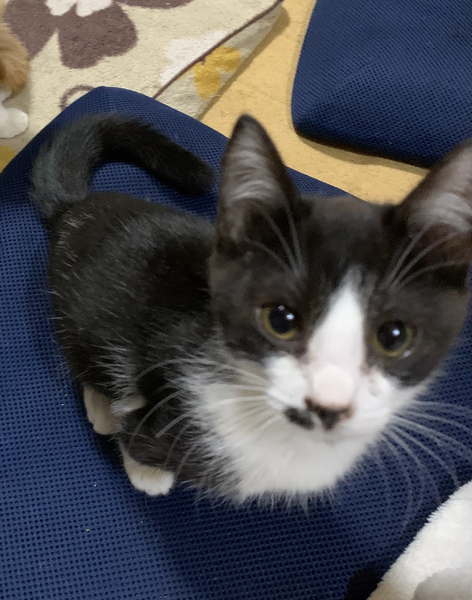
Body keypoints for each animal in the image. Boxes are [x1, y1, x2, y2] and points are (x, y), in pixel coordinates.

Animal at [30, 113, 472, 503]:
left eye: (393, 336)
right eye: (280, 319)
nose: (329, 404)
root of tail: (76, 207)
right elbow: (137, 431)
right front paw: (145, 467)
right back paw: (101, 407)